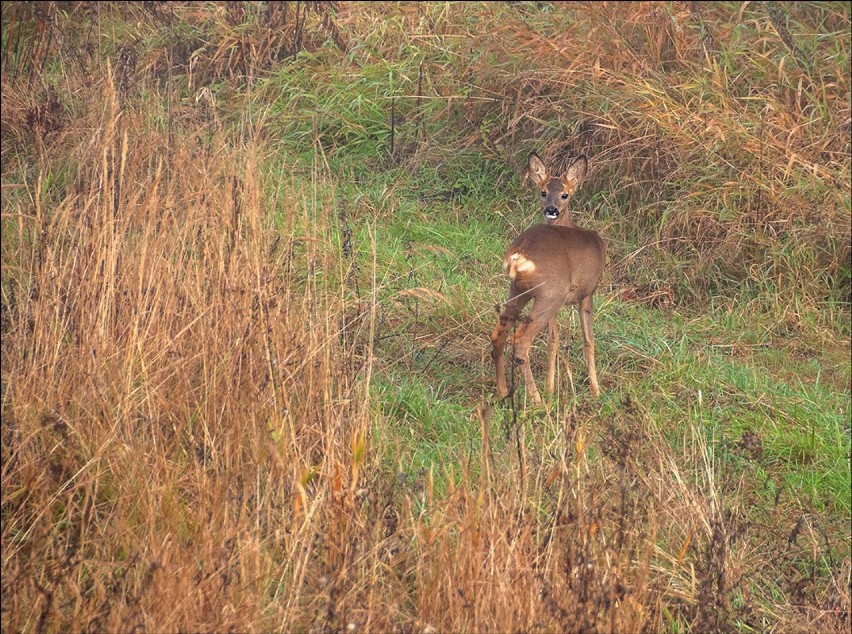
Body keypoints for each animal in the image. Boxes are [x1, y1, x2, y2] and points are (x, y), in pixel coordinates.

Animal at [490, 151, 604, 402]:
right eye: (543, 192)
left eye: (564, 194)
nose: (551, 209)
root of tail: (519, 253)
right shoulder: (587, 293)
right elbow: (589, 340)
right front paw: (596, 391)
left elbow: (554, 340)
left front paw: (550, 387)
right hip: (549, 293)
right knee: (520, 341)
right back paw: (535, 399)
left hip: (519, 291)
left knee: (498, 336)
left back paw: (503, 392)